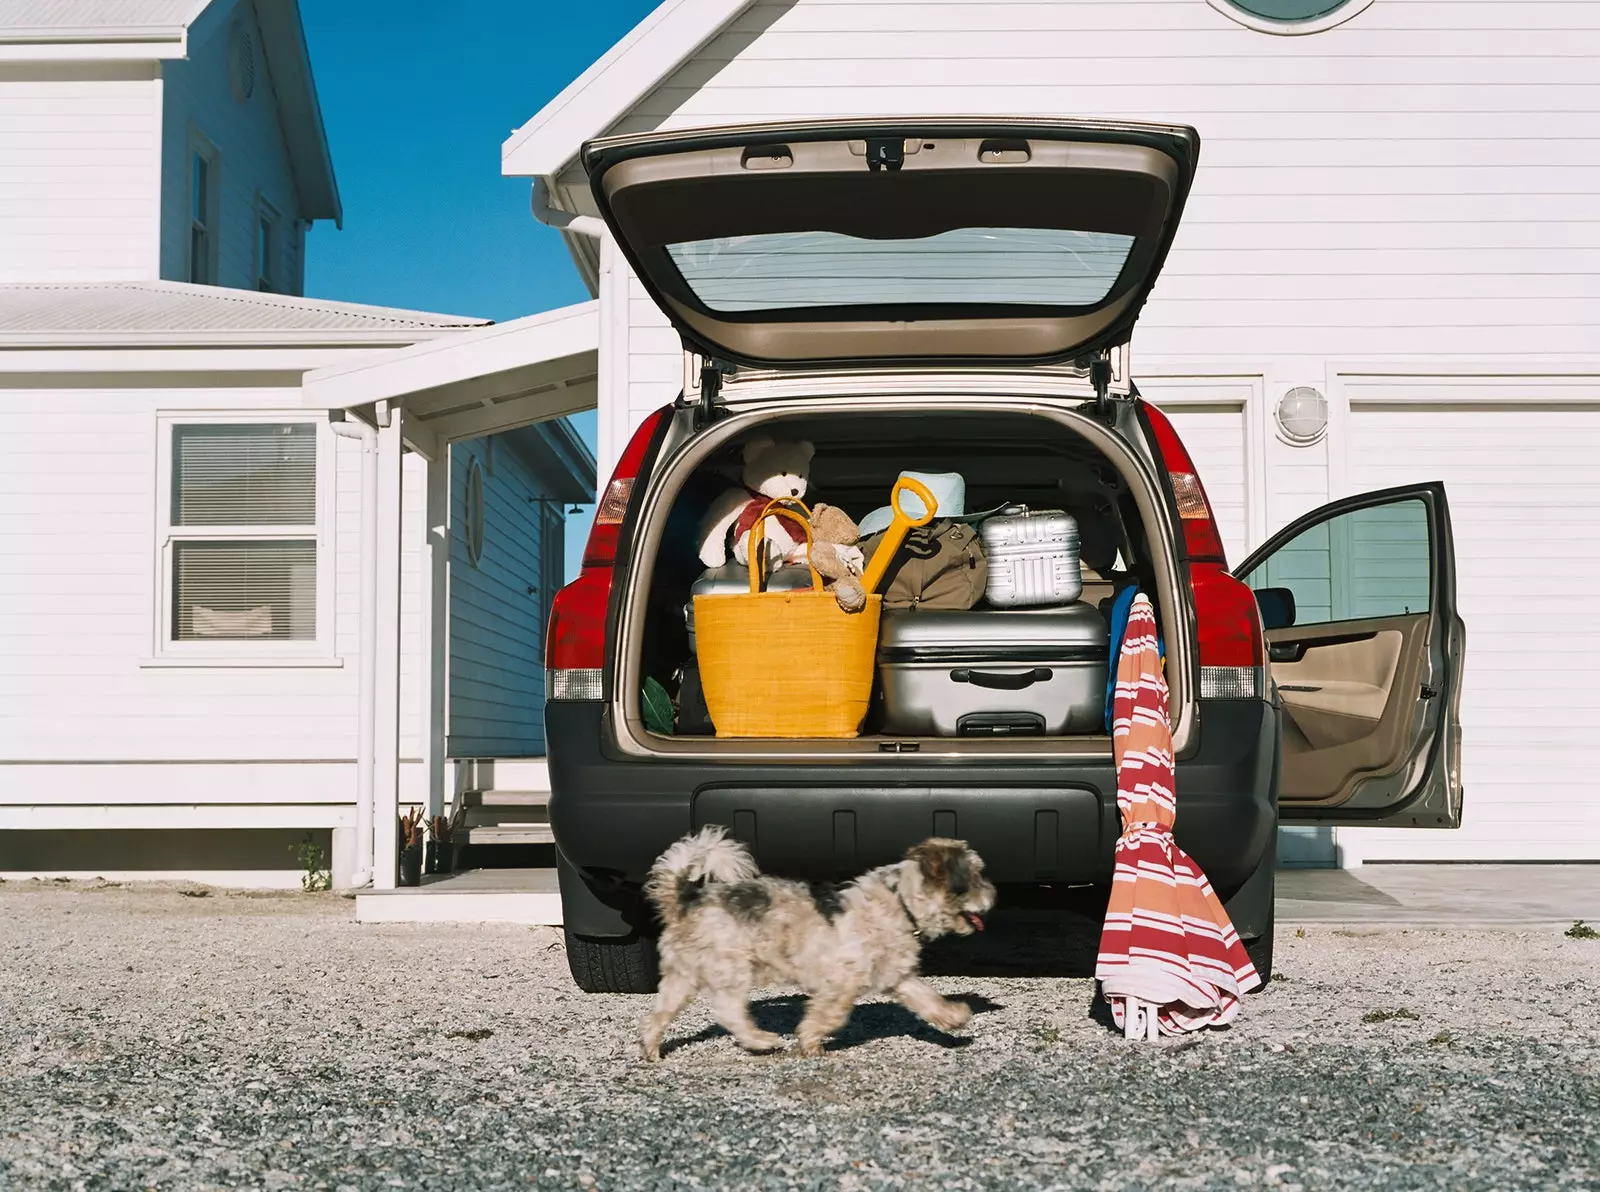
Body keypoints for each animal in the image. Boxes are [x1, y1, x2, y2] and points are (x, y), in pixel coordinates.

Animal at [633, 825, 985, 1056]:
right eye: (975, 879)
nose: (992, 895)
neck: (899, 901)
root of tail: (685, 899)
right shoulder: (842, 982)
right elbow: (831, 1014)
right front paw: (810, 1041)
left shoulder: (897, 975)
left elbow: (926, 998)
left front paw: (953, 1017)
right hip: (730, 967)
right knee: (728, 1010)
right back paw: (761, 1040)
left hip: (681, 976)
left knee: (658, 1014)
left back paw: (650, 1049)